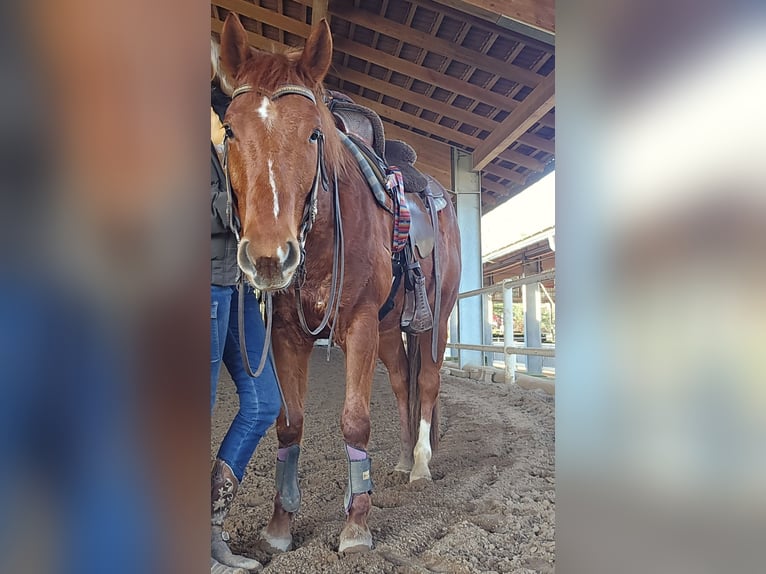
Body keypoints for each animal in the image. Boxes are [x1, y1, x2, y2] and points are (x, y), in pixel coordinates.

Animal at [217, 13, 462, 554]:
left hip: (435, 321)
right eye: (229, 130)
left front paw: (356, 526)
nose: (269, 256)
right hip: (392, 331)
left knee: (427, 381)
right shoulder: (288, 335)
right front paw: (279, 528)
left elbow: (355, 419)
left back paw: (419, 466)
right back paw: (398, 462)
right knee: (402, 383)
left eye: (314, 135)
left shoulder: (360, 324)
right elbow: (289, 424)